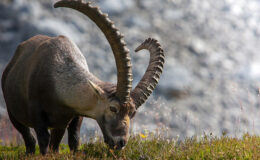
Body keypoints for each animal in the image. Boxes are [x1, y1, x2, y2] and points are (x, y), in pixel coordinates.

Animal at [1, 0, 165, 155]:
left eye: (133, 113)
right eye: (113, 108)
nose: (121, 143)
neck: (58, 84)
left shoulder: (73, 117)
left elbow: (74, 140)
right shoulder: (37, 116)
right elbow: (43, 141)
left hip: (58, 126)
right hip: (13, 113)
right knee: (29, 139)